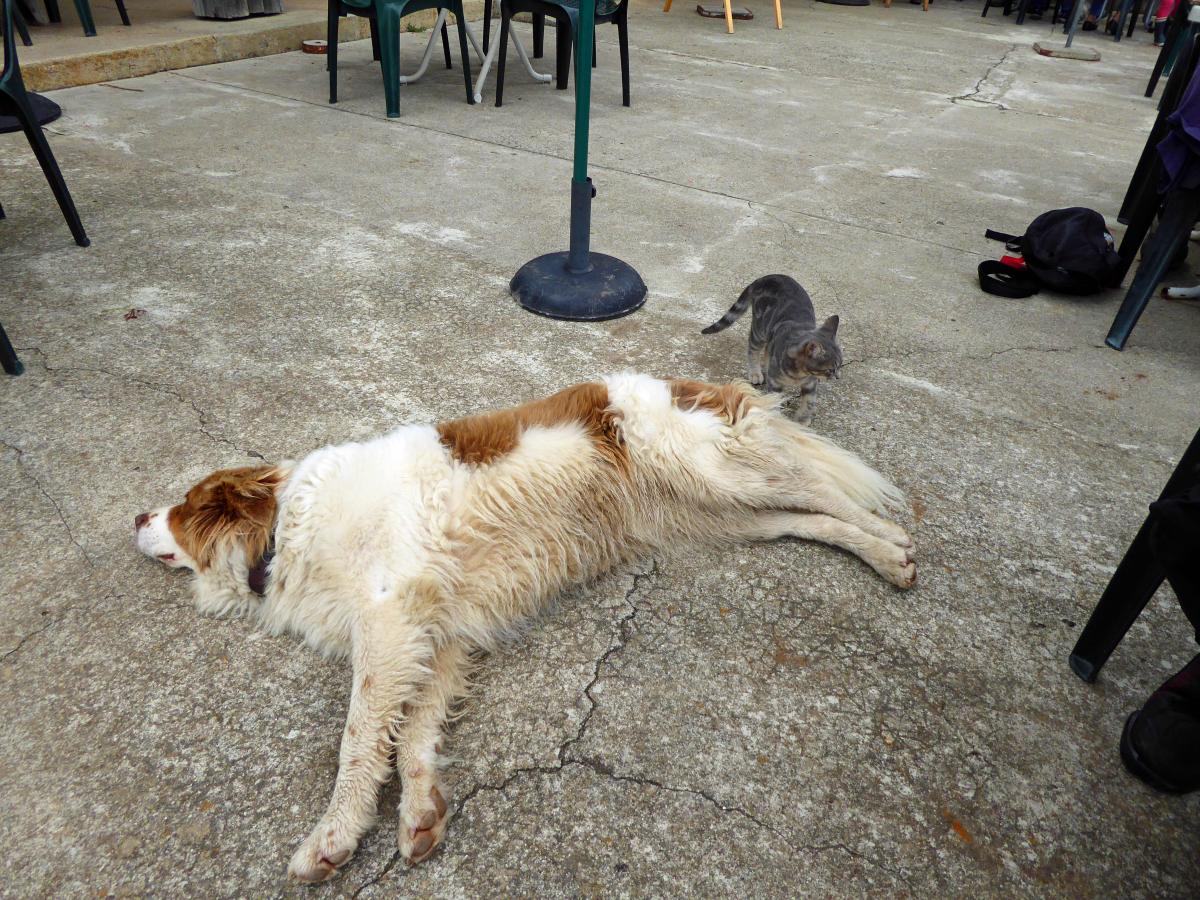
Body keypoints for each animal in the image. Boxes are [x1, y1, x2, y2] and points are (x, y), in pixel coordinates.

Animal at [134, 374, 916, 883]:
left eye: (182, 507)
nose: (136, 516)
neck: (286, 531)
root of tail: (699, 379)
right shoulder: (433, 636)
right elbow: (413, 736)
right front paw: (419, 813)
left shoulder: (388, 620)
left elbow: (359, 740)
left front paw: (333, 837)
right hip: (720, 514)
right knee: (807, 520)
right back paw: (881, 554)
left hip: (720, 474)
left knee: (825, 492)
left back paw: (896, 542)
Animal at [702, 274, 842, 424]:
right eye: (830, 369)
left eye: (840, 365)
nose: (838, 377)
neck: (799, 375)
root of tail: (765, 278)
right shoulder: (775, 383)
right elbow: (774, 400)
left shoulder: (810, 384)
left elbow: (809, 403)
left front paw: (802, 419)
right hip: (759, 329)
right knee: (753, 349)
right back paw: (755, 373)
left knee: (767, 351)